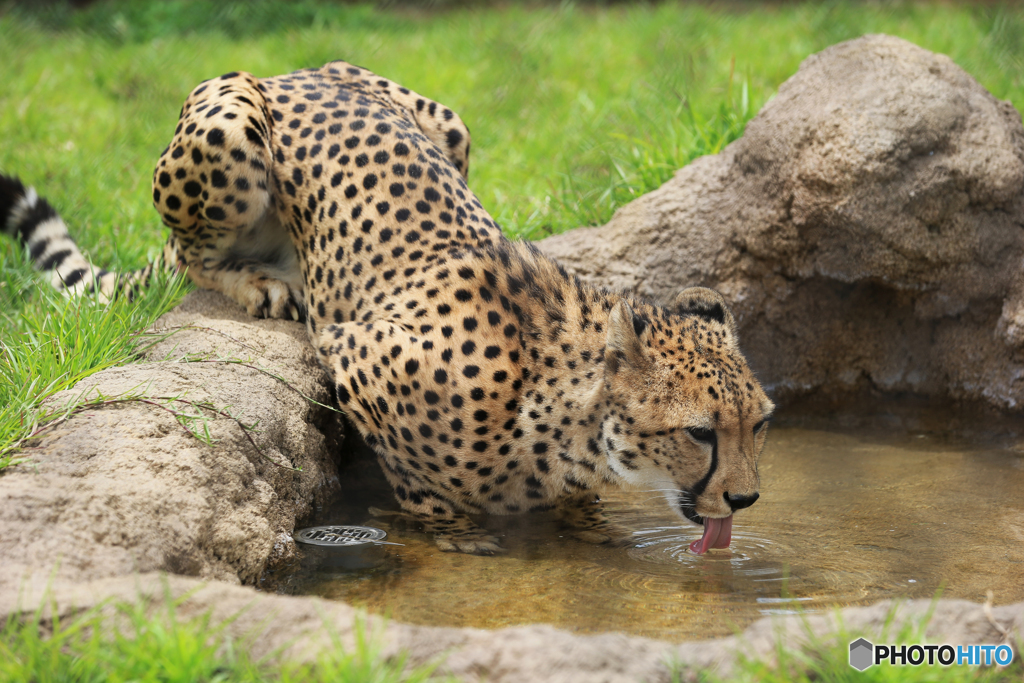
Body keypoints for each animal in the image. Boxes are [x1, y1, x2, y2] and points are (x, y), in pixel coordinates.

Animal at [0, 60, 770, 557]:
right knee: (193, 252)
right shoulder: (354, 346)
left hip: (450, 125)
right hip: (228, 128)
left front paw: (586, 523)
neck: (563, 415)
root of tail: (291, 72)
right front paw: (460, 528)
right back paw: (260, 282)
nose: (745, 502)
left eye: (760, 424)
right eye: (701, 432)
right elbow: (423, 486)